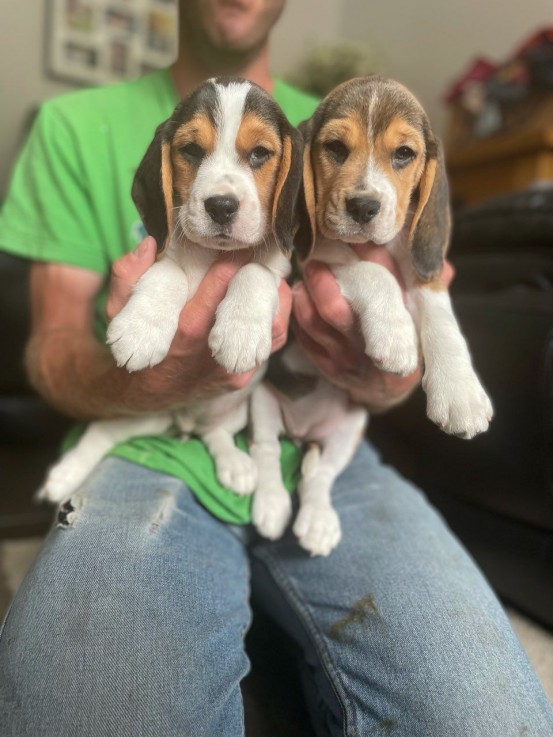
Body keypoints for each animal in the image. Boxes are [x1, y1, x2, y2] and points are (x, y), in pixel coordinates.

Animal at [38, 79, 302, 506]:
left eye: (260, 153)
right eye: (191, 150)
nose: (222, 206)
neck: (212, 255)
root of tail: (182, 420)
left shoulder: (278, 270)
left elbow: (253, 272)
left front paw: (240, 334)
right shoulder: (160, 254)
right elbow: (169, 275)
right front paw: (141, 331)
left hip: (232, 410)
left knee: (216, 434)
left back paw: (236, 466)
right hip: (136, 412)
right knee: (101, 432)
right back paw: (64, 475)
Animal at [246, 77, 492, 556]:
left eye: (404, 154)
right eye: (335, 148)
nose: (363, 207)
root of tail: (303, 431)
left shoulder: (423, 272)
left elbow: (443, 320)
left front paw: (460, 392)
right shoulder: (316, 262)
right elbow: (371, 272)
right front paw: (395, 337)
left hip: (351, 427)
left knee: (320, 476)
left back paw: (318, 521)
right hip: (263, 402)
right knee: (266, 453)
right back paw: (271, 506)